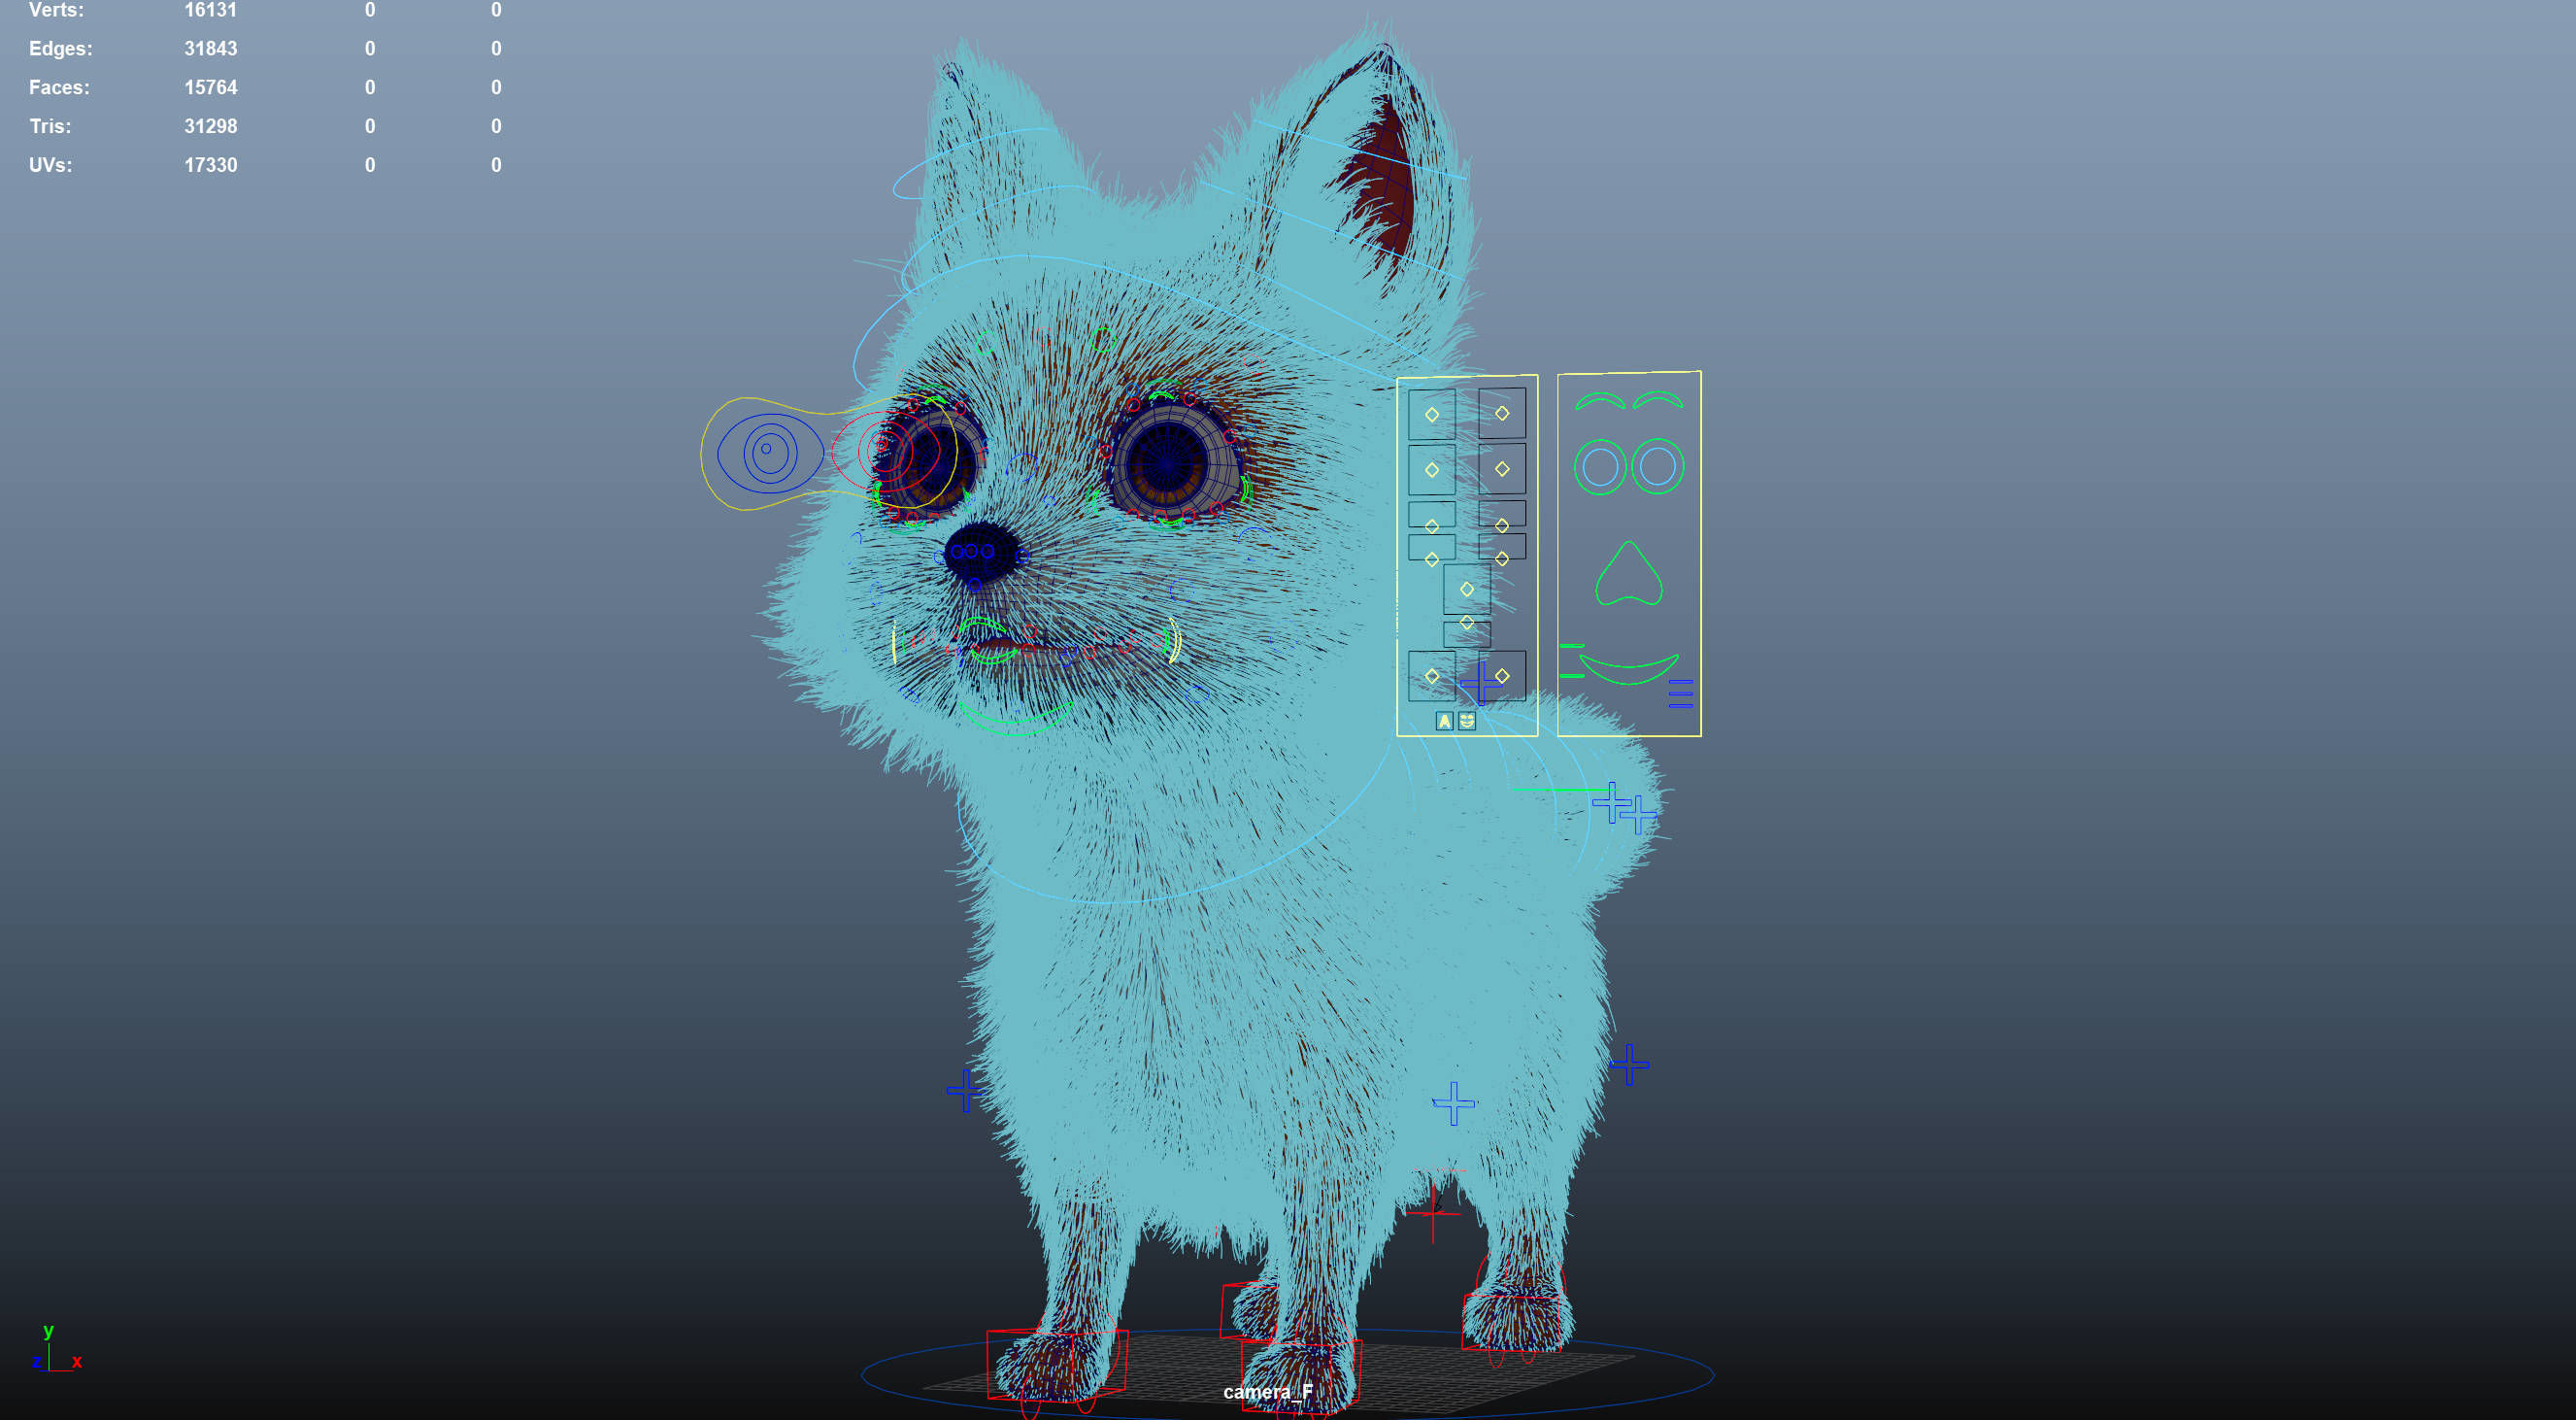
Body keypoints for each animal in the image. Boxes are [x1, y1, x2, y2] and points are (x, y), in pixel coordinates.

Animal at [766, 32, 1661, 1415]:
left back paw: (1513, 1306)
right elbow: (1085, 1245)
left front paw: (1307, 1365)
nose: (972, 545)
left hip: (1522, 1071)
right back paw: (1251, 1303)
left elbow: (1330, 1229)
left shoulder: (1337, 1099)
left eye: (1168, 465)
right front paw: (1062, 1356)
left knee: (1525, 1193)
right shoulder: (1071, 1104)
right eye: (927, 461)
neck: (1157, 858)